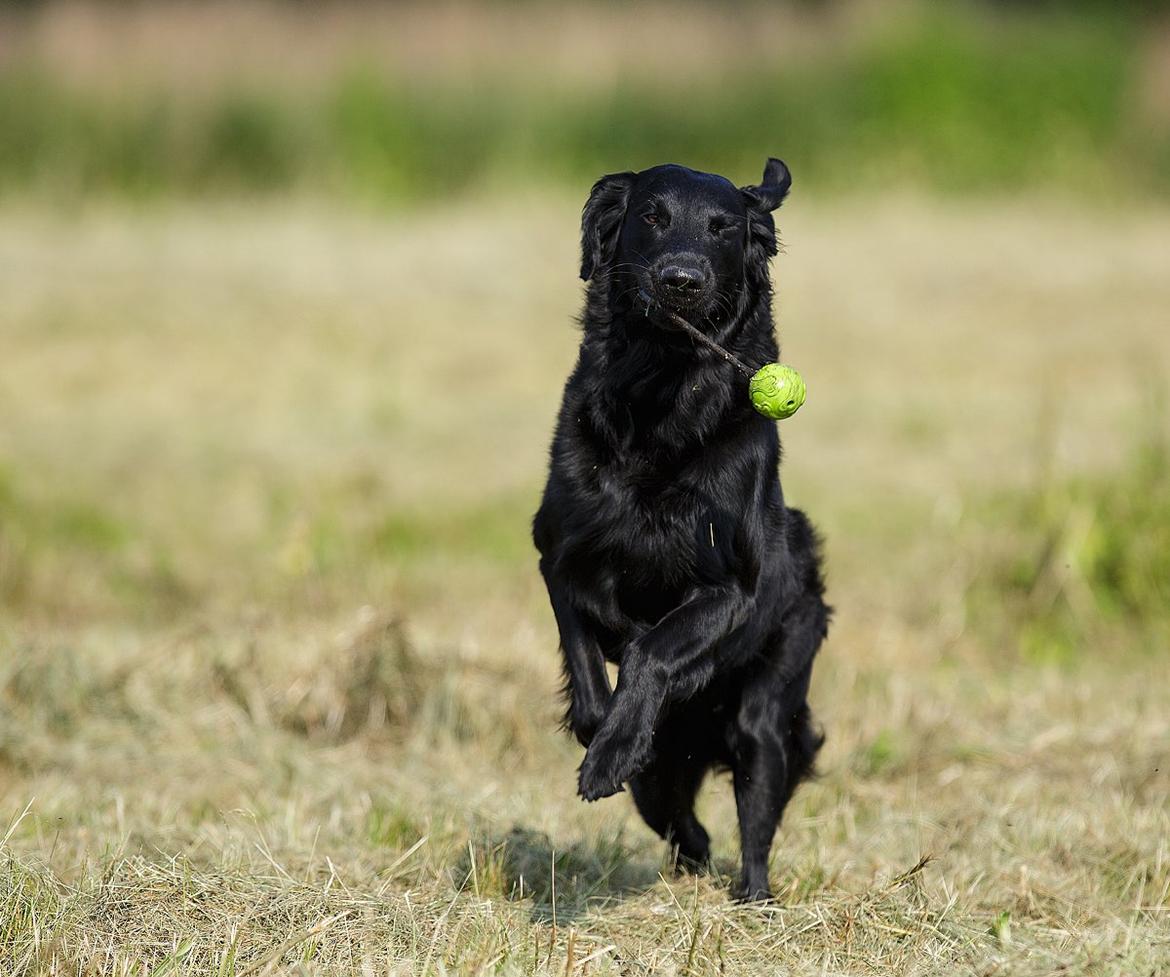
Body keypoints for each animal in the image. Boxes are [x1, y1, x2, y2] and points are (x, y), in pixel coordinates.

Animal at [535, 156, 828, 898]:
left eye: (722, 228)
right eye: (652, 216)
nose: (681, 279)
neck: (660, 399)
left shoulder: (732, 589)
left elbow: (653, 650)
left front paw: (612, 750)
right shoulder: (560, 555)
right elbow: (588, 674)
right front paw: (608, 741)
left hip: (766, 713)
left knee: (756, 814)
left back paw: (752, 897)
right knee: (675, 811)